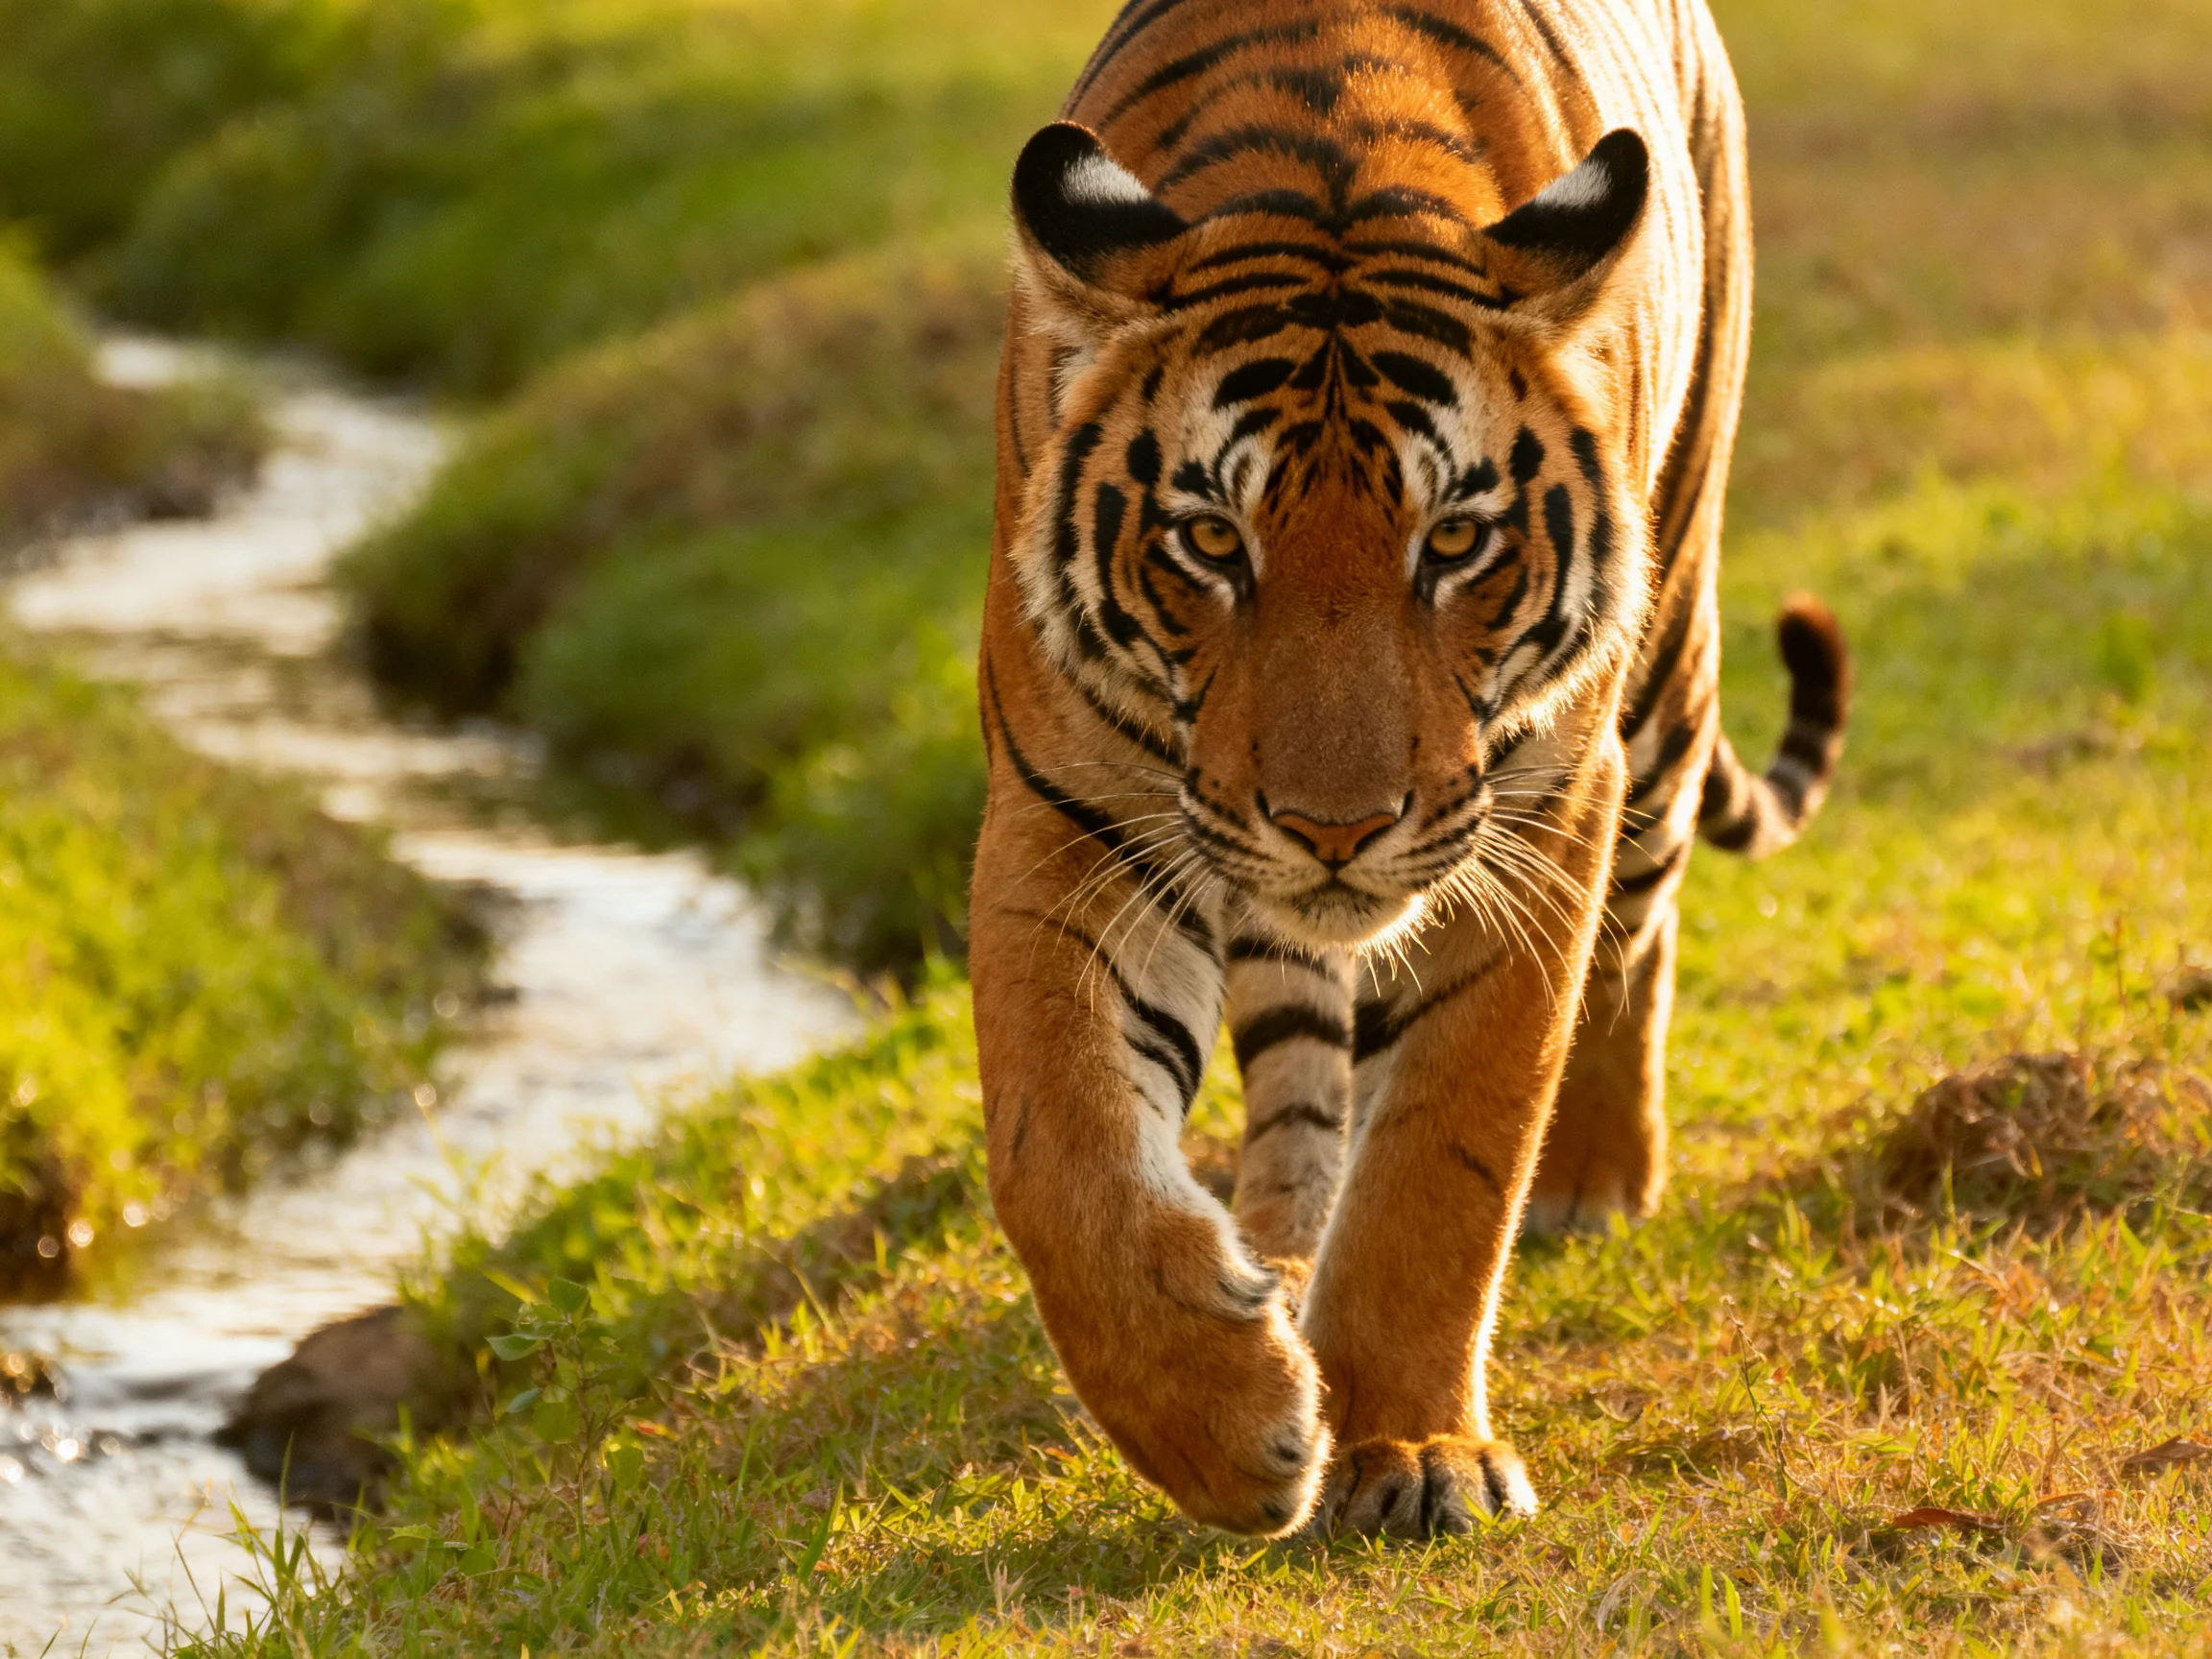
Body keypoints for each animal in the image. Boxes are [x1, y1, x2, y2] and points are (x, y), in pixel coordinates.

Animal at [971, 0, 1849, 1539]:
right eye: (1212, 541)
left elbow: (1447, 1156)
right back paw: (1271, 1248)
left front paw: (1411, 1450)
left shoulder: (1538, 817)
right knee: (1303, 1059)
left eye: (1455, 542)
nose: (1338, 828)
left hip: (1667, 656)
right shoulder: (1066, 817)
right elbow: (1056, 1147)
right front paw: (1229, 1423)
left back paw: (1593, 1177)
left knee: (1643, 926)